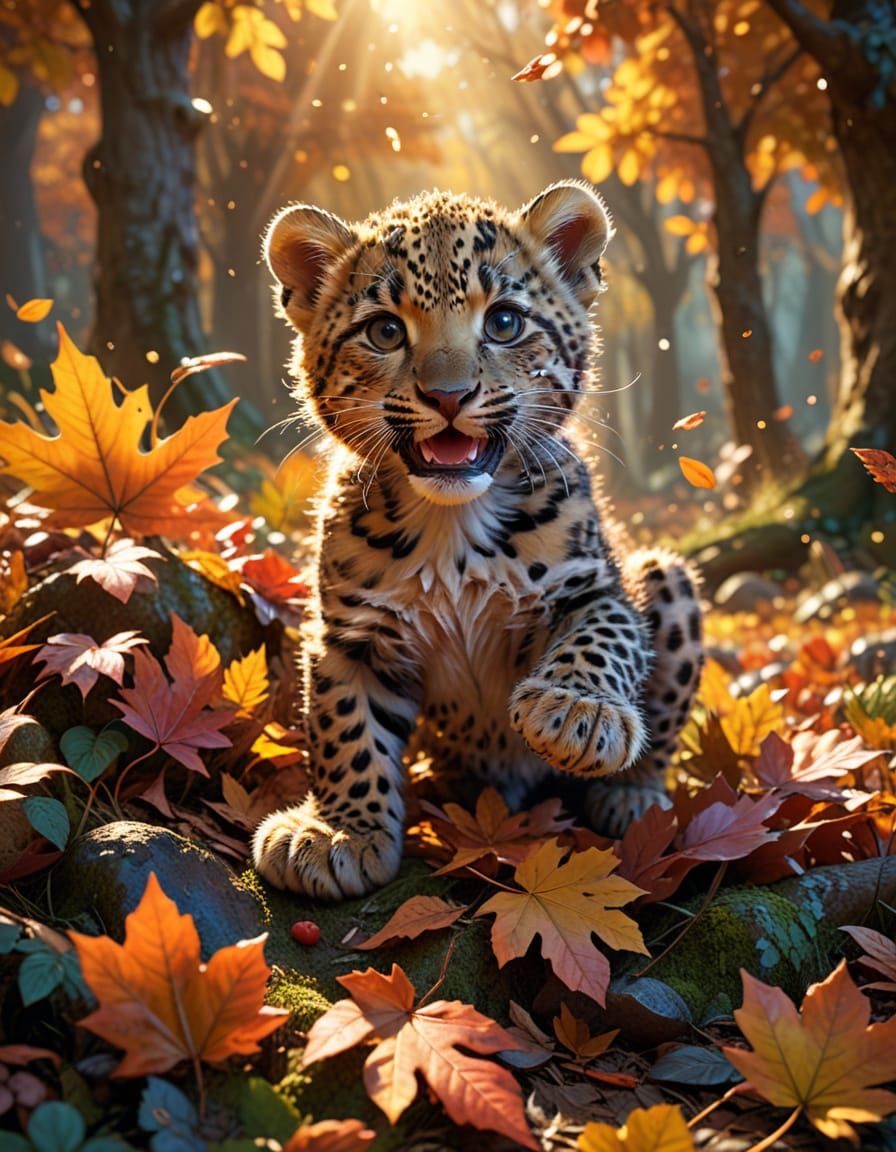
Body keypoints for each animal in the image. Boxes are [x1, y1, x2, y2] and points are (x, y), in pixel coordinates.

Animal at [252, 181, 703, 901]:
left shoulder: (595, 585)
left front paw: (576, 712)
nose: (448, 395)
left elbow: (602, 637)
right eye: (385, 331)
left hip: (667, 576)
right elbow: (344, 727)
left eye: (505, 323)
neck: (452, 528)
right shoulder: (349, 633)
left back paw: (632, 797)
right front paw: (339, 831)